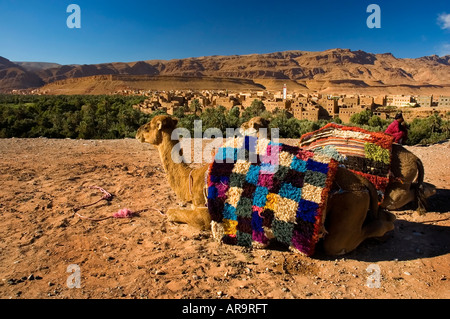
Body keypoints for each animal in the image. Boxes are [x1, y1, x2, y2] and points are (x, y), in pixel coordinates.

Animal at [135, 116, 396, 256]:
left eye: (148, 125)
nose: (137, 132)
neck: (191, 178)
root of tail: (363, 182)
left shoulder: (207, 213)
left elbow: (173, 213)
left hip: (347, 207)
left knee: (342, 242)